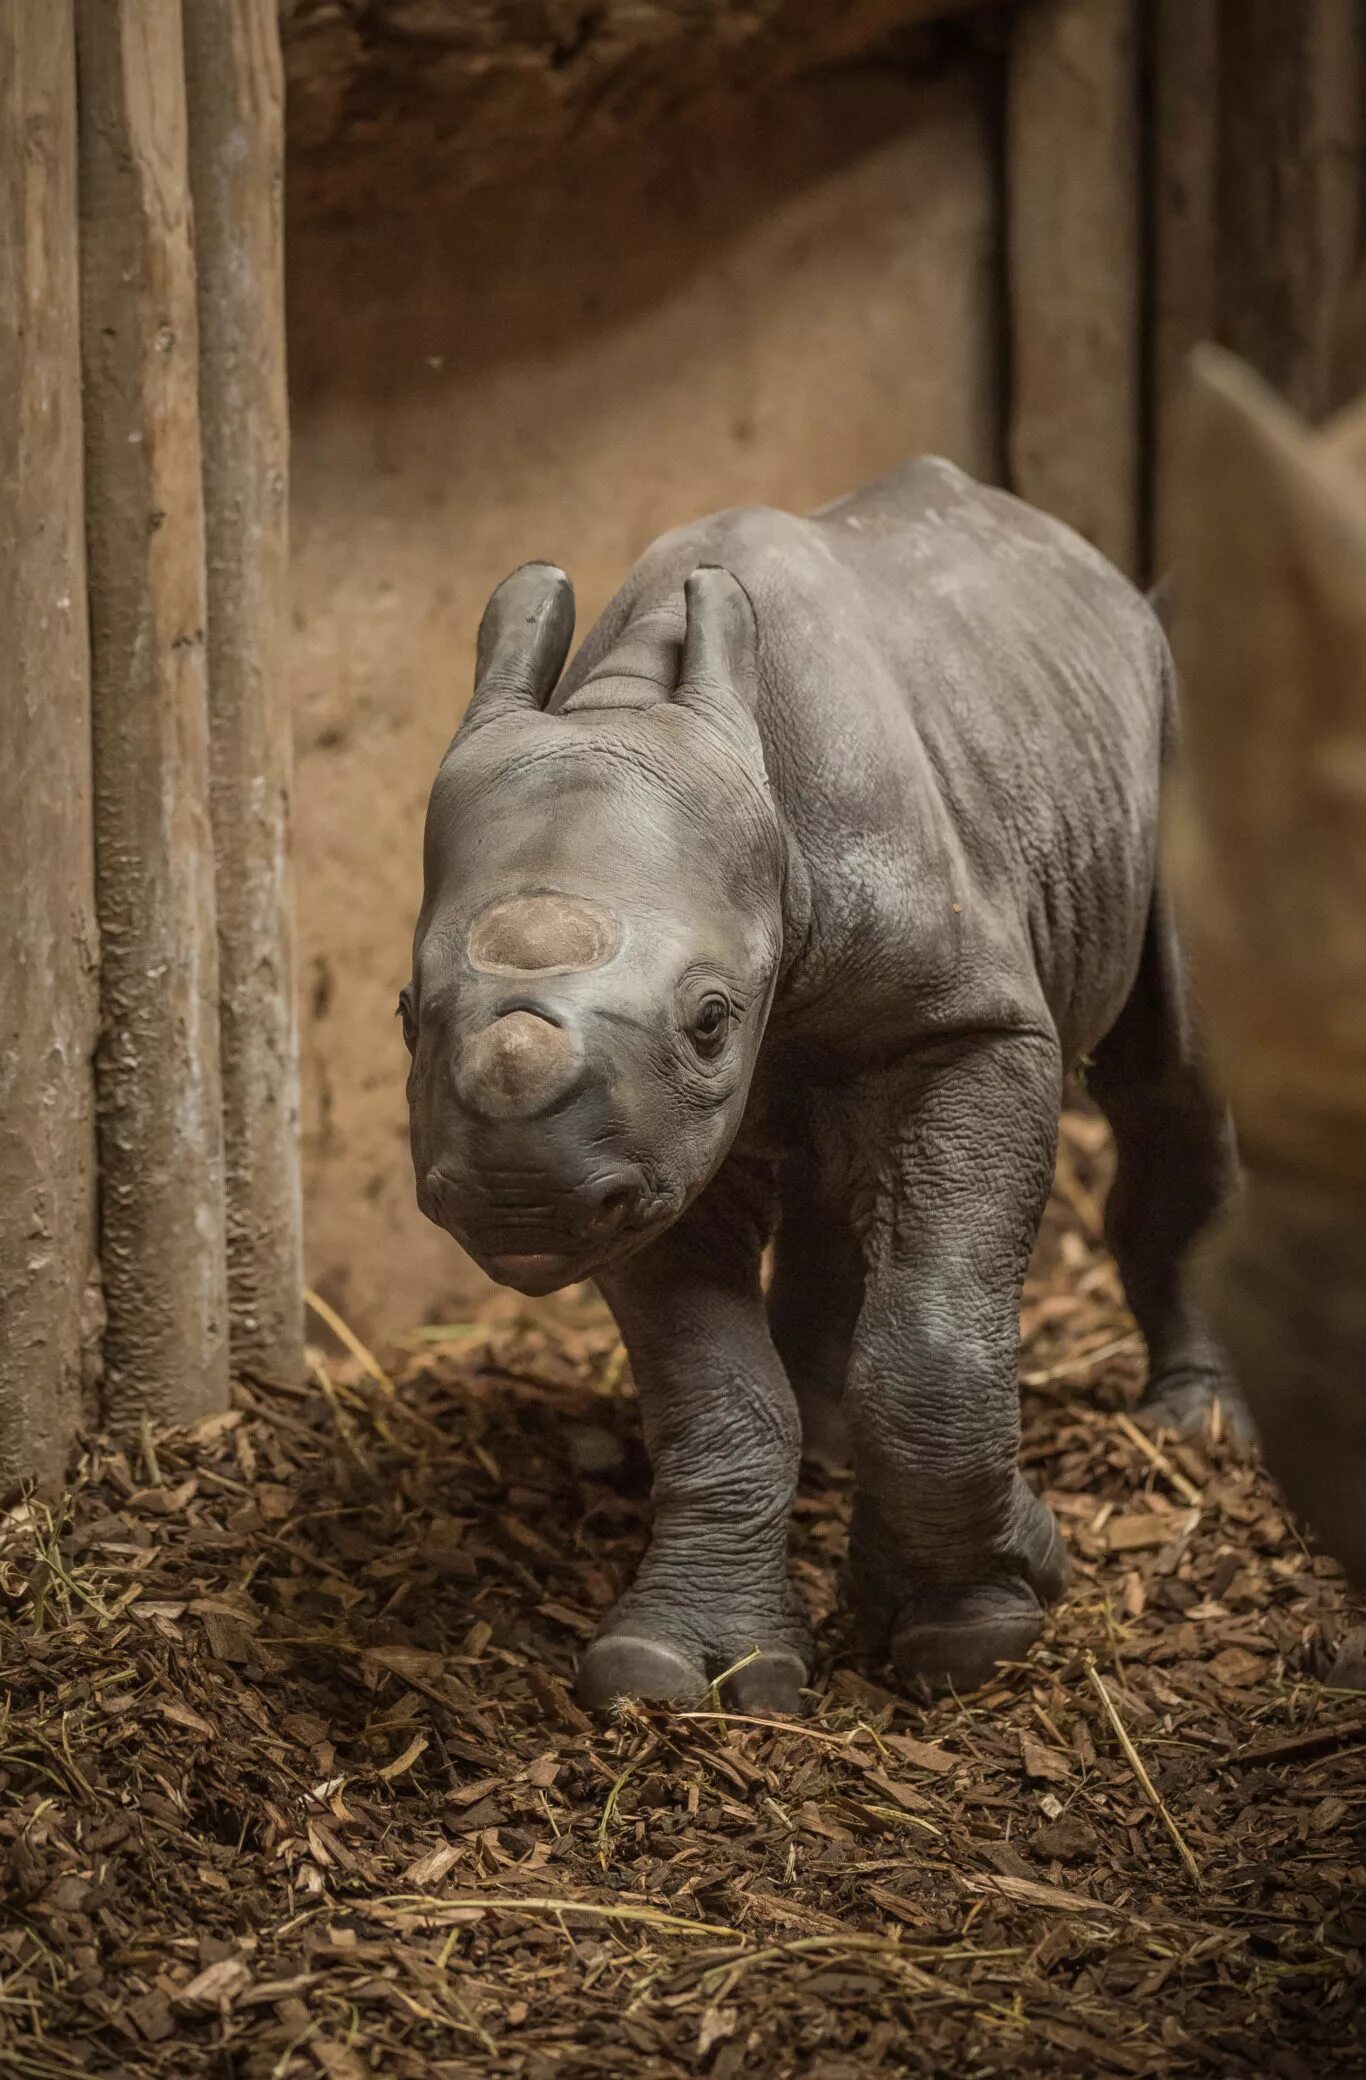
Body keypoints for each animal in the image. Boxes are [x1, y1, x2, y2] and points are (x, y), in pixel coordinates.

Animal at [401, 463, 1239, 1713]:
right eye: (406, 1014)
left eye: (709, 1020)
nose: (518, 1198)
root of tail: (1079, 556)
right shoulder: (645, 1153)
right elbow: (714, 1390)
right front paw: (678, 1670)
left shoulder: (968, 1022)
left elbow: (935, 1331)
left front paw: (980, 1625)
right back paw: (834, 1439)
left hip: (1157, 708)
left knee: (1165, 1066)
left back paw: (1196, 1423)